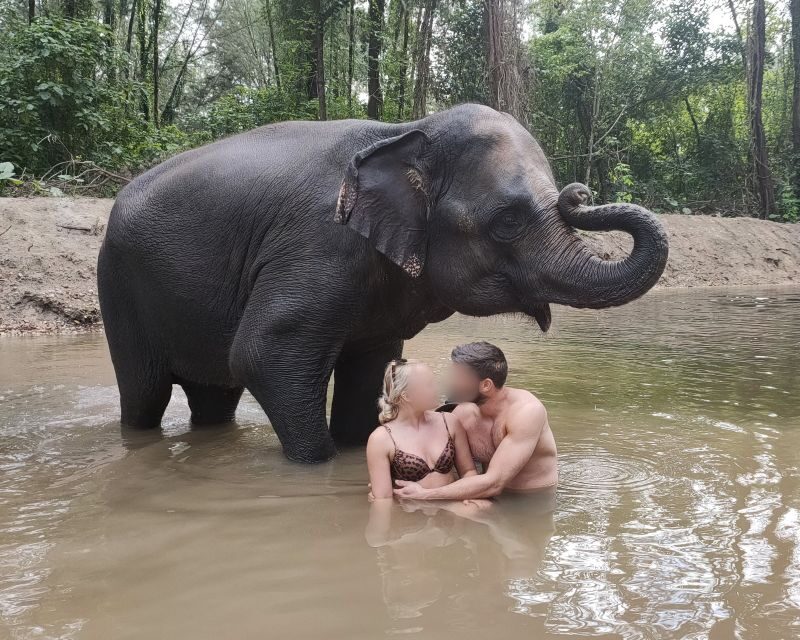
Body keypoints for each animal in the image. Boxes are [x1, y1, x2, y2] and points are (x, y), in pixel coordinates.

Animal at [97, 103, 668, 463]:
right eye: (507, 220)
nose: (579, 191)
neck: (408, 129)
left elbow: (371, 366)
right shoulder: (317, 241)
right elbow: (263, 352)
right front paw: (321, 468)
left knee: (215, 394)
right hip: (119, 288)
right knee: (145, 394)